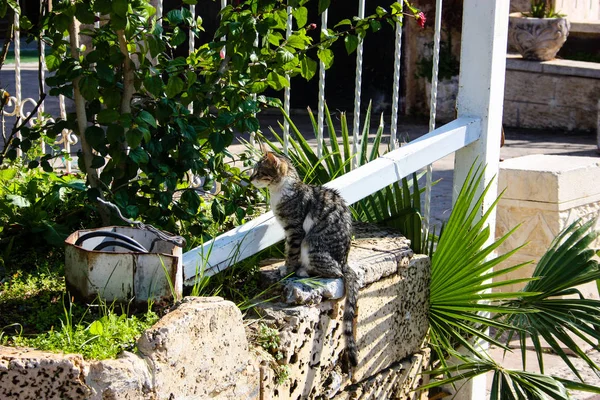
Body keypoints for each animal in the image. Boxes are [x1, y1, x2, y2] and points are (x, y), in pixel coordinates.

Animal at [251, 151, 358, 368]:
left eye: (259, 172)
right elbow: (286, 250)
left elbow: (291, 253)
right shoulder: (287, 232)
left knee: (334, 273)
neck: (281, 191)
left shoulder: (295, 229)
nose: (249, 179)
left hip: (311, 244)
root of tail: (344, 261)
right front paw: (285, 268)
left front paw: (288, 269)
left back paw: (303, 271)